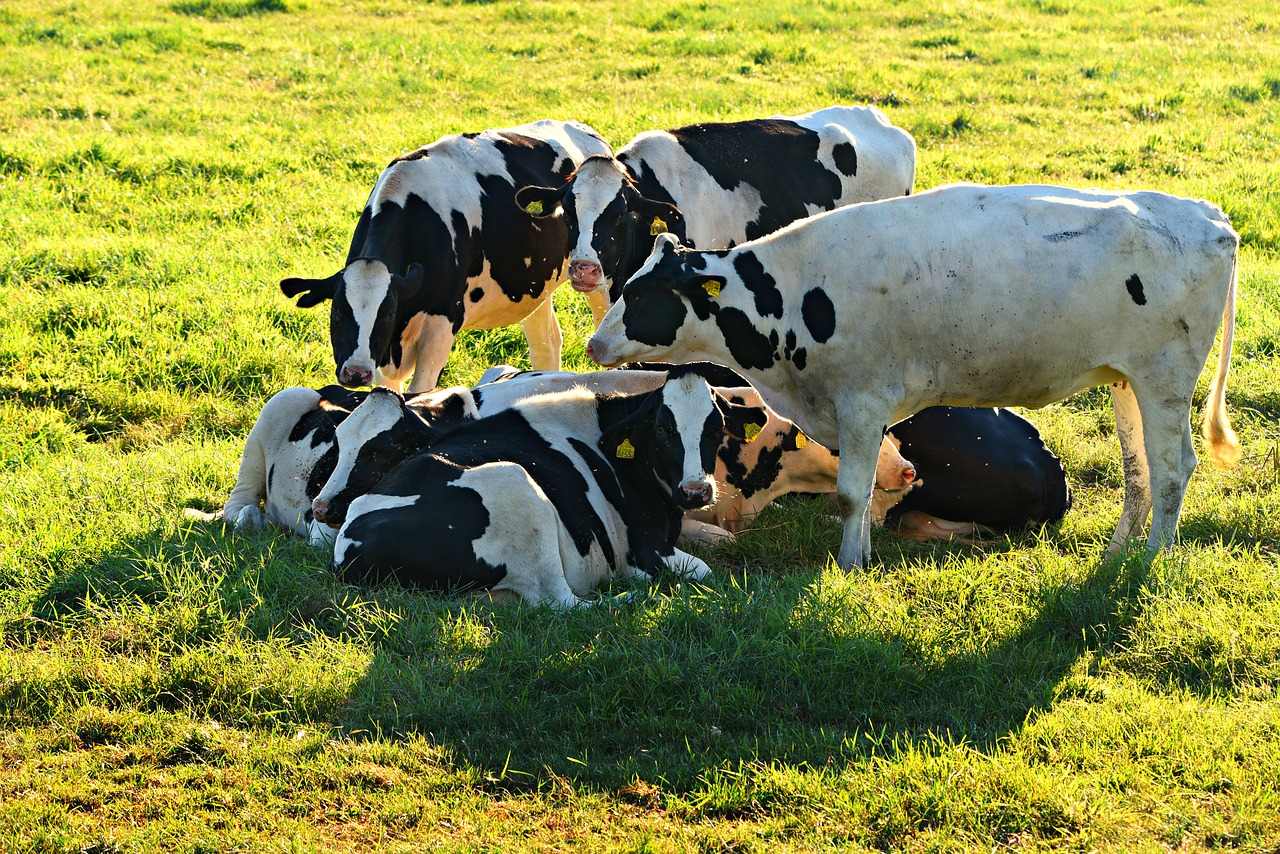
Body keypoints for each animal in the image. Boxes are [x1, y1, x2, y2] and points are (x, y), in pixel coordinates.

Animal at [279, 120, 614, 394]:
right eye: (337, 312)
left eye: (386, 313)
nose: (356, 372)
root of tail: (585, 131)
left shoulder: (442, 323)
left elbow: (419, 392)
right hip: (533, 284)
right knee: (547, 343)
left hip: (599, 280)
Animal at [332, 371, 768, 606]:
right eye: (663, 428)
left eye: (716, 428)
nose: (696, 492)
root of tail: (348, 546)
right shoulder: (644, 552)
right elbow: (704, 570)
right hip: (516, 485)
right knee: (563, 603)